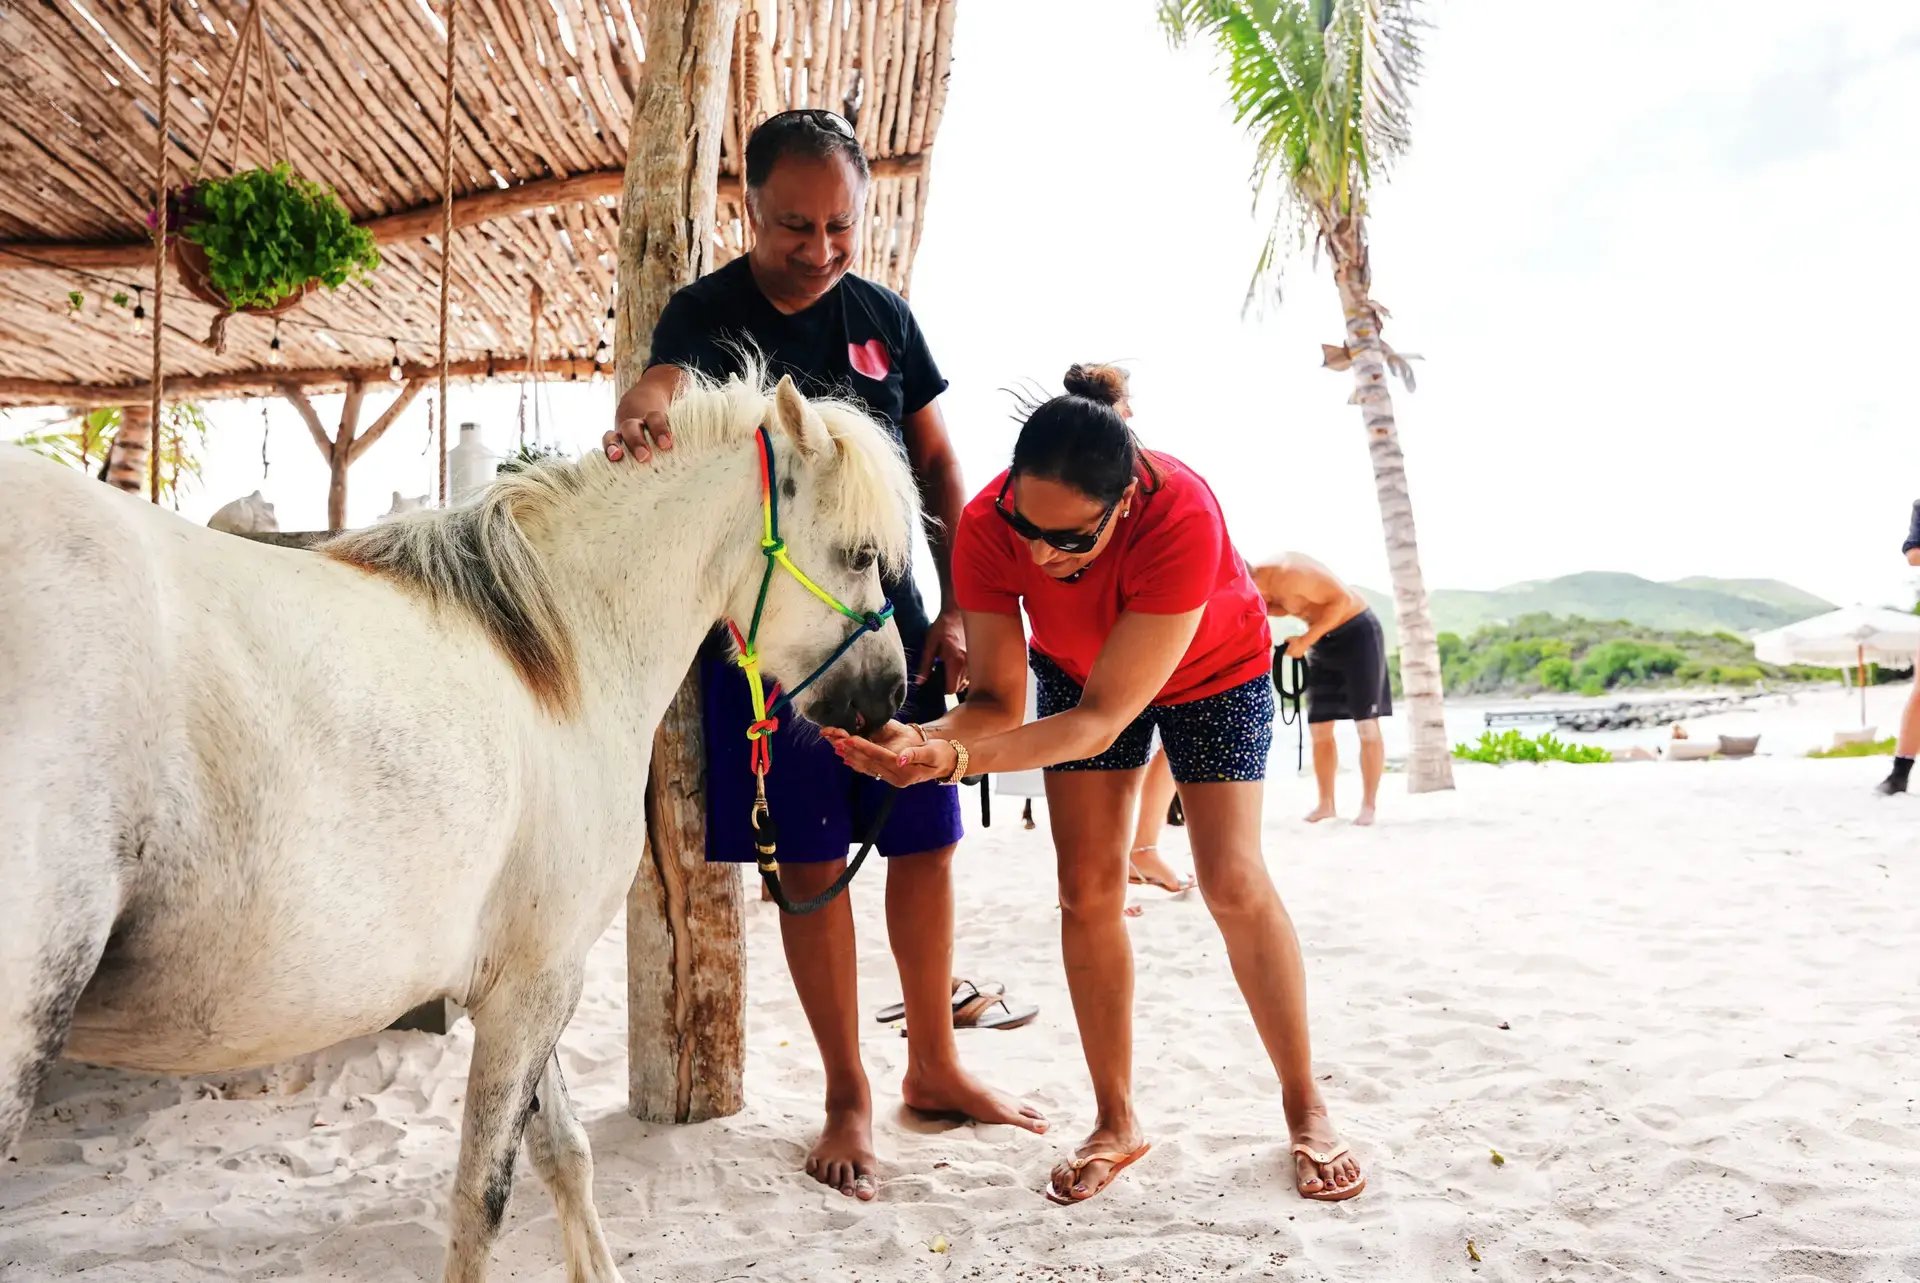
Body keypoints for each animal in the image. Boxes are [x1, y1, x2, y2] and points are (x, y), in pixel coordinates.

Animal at [0, 369, 920, 1283]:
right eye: (860, 554)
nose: (892, 694)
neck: (559, 656)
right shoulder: (535, 985)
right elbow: (484, 1195)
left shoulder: (528, 977)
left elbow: (563, 1152)